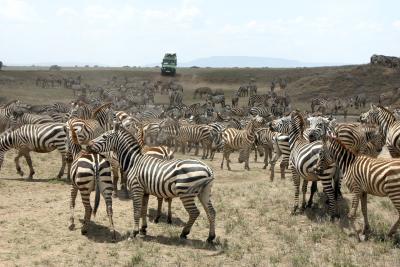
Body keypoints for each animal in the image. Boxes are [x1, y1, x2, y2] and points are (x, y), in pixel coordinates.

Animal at [86, 124, 217, 244]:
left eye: (104, 136)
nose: (87, 145)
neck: (134, 162)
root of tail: (207, 169)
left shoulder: (136, 189)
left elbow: (136, 211)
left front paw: (134, 233)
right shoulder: (145, 191)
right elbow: (143, 210)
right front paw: (143, 229)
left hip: (186, 193)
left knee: (195, 212)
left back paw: (184, 233)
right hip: (204, 192)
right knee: (211, 212)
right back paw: (210, 237)